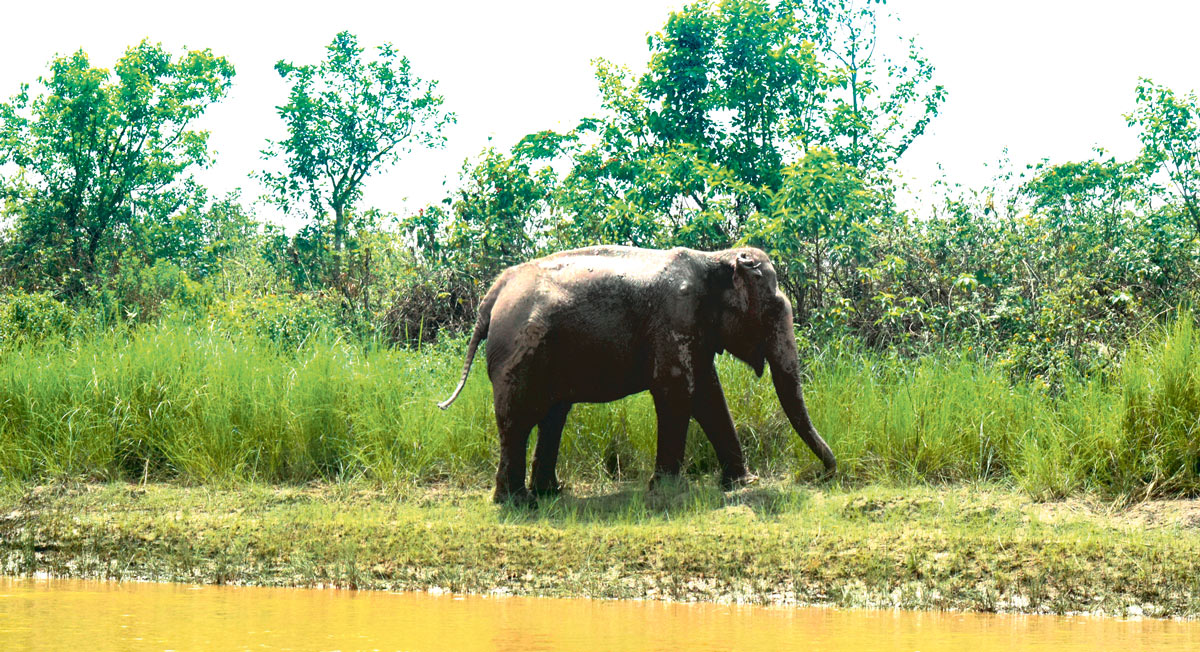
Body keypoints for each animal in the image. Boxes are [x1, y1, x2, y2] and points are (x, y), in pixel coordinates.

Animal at [436, 244, 840, 504]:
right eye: (772, 310)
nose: (827, 474)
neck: (714, 257)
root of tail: (493, 293)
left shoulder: (693, 329)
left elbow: (708, 394)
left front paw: (740, 483)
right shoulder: (675, 318)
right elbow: (677, 391)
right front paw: (665, 491)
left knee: (553, 416)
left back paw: (551, 493)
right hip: (519, 352)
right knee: (519, 420)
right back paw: (518, 502)